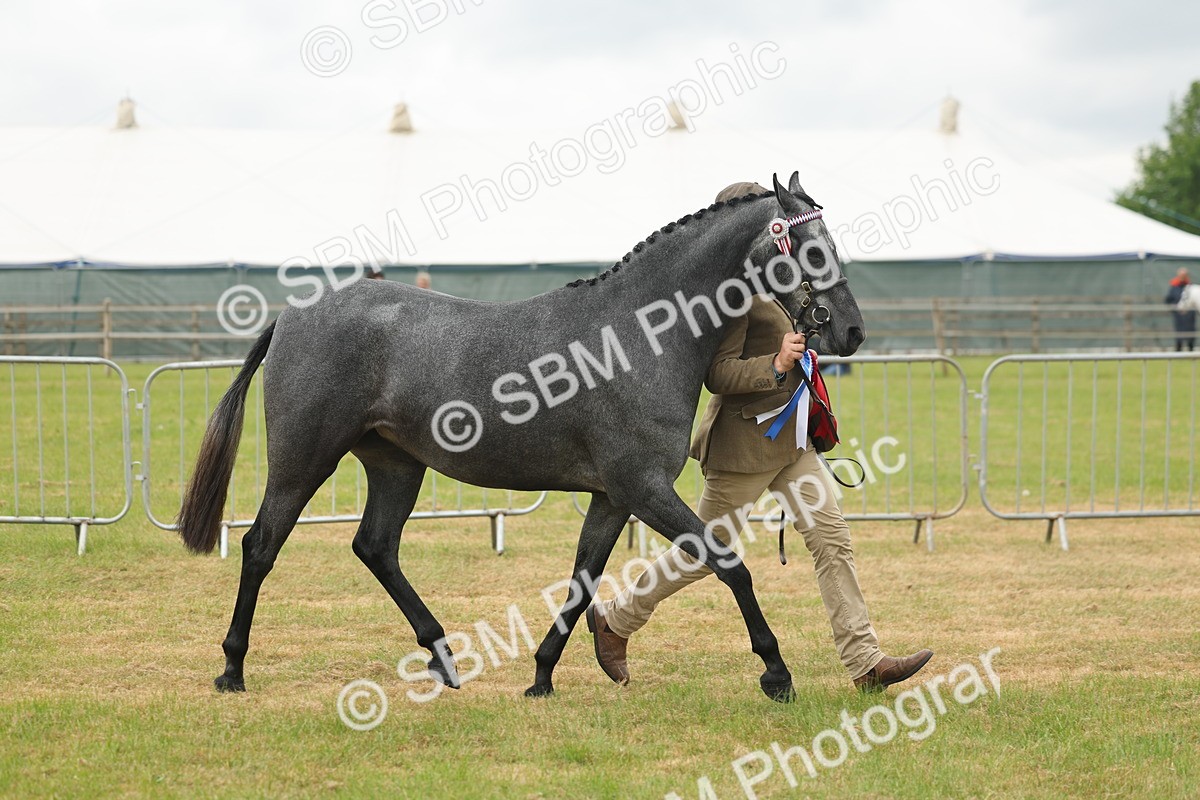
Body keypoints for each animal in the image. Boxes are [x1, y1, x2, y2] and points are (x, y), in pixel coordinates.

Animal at [178, 173, 866, 702]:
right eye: (810, 247)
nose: (850, 331)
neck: (639, 335)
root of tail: (294, 314)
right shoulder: (642, 487)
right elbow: (729, 566)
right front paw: (776, 673)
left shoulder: (613, 496)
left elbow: (583, 578)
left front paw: (542, 676)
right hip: (304, 459)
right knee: (261, 546)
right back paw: (232, 669)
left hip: (396, 464)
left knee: (375, 547)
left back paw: (443, 659)